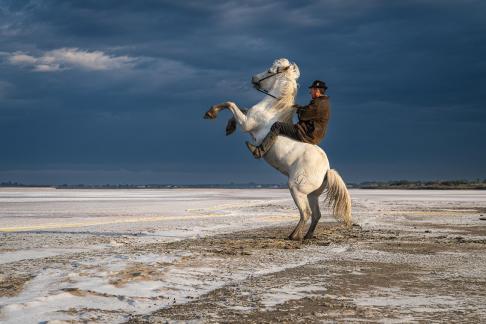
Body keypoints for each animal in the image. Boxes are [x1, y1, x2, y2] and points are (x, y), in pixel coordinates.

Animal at [203, 58, 352, 240]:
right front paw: (229, 126)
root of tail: (326, 170)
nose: (253, 78)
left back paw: (293, 236)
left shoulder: (247, 124)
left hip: (296, 189)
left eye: (270, 71)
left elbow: (231, 103)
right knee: (316, 215)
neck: (271, 109)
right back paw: (307, 236)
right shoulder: (247, 118)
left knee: (306, 213)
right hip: (311, 195)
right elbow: (240, 108)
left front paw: (210, 113)